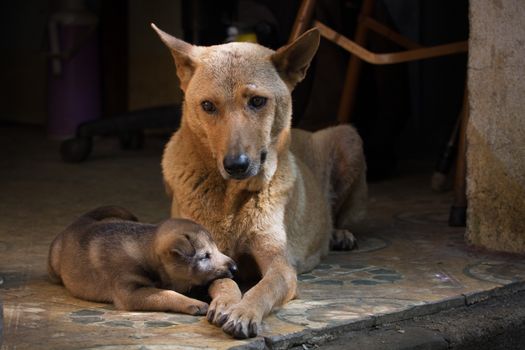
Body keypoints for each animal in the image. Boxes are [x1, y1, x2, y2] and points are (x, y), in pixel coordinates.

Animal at [48, 205, 236, 314]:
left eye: (216, 249)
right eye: (205, 256)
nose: (235, 267)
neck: (146, 252)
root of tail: (81, 220)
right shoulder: (130, 291)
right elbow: (166, 294)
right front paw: (194, 303)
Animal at [150, 25, 364, 340]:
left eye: (257, 101)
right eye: (207, 105)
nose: (236, 164)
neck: (231, 198)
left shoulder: (280, 265)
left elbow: (263, 289)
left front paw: (244, 311)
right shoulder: (208, 258)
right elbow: (224, 281)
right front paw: (227, 302)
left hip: (348, 138)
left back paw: (338, 234)